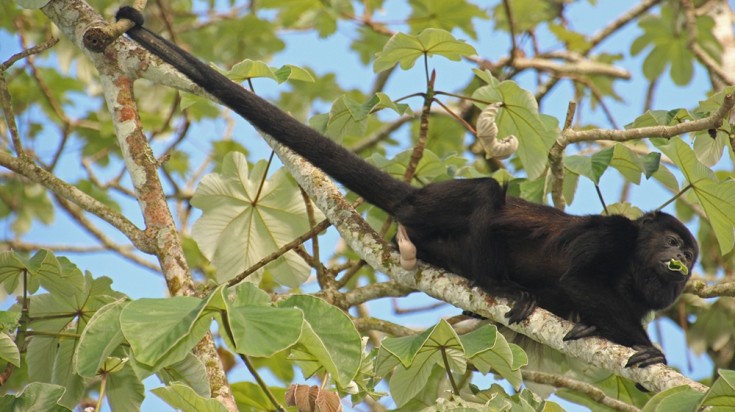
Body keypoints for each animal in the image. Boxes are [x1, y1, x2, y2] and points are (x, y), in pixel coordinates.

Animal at [113, 7, 698, 368]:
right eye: (673, 242)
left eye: (690, 255)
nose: (683, 264)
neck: (634, 261)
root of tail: (412, 197)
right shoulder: (612, 235)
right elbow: (579, 280)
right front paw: (648, 349)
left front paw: (597, 330)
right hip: (434, 205)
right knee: (487, 193)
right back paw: (502, 286)